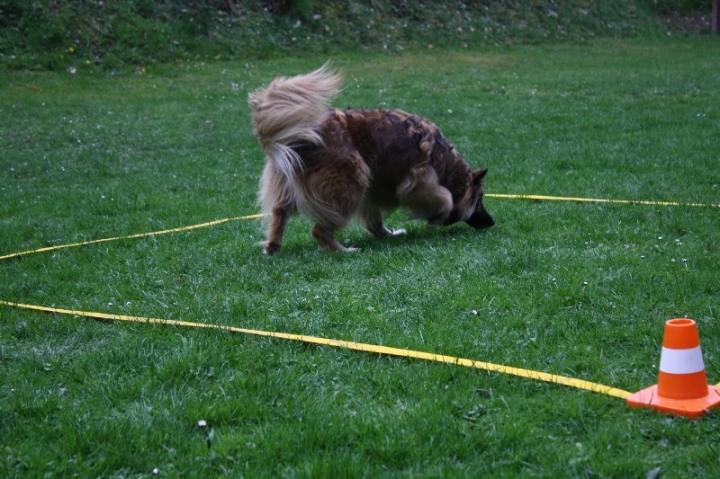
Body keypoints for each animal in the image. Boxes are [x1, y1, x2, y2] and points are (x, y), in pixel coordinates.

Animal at [249, 65, 496, 256]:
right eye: (480, 199)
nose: (492, 222)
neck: (447, 164)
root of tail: (303, 135)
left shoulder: (376, 188)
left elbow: (375, 220)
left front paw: (387, 233)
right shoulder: (417, 180)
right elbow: (445, 199)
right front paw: (437, 217)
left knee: (279, 213)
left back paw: (272, 246)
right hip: (351, 183)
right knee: (319, 230)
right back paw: (343, 250)